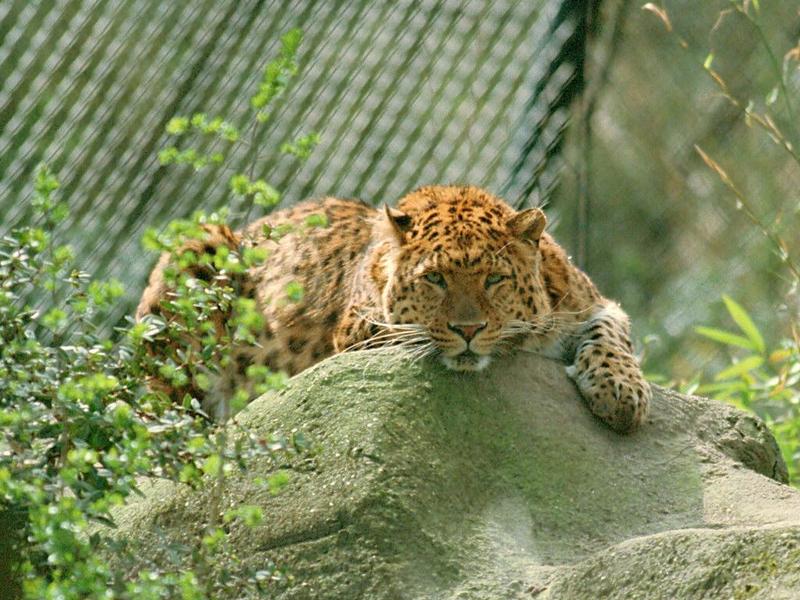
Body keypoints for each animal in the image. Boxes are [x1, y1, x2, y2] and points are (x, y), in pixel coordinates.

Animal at [138, 184, 648, 432]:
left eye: (494, 279)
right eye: (435, 279)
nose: (469, 329)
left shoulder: (593, 302)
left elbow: (611, 336)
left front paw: (622, 392)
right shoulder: (357, 333)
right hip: (195, 248)